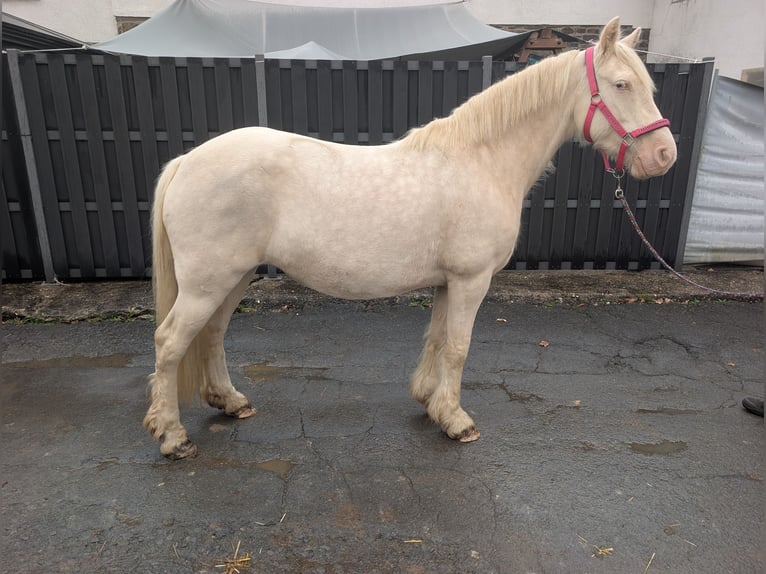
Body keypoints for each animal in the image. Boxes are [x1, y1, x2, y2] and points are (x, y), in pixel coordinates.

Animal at [144, 17, 676, 459]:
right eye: (622, 84)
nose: (664, 155)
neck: (482, 161)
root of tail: (185, 162)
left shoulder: (446, 282)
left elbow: (436, 339)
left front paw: (429, 402)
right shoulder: (471, 280)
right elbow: (458, 347)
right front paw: (457, 421)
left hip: (232, 277)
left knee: (212, 334)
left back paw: (230, 402)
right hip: (208, 282)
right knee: (170, 343)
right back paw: (172, 437)